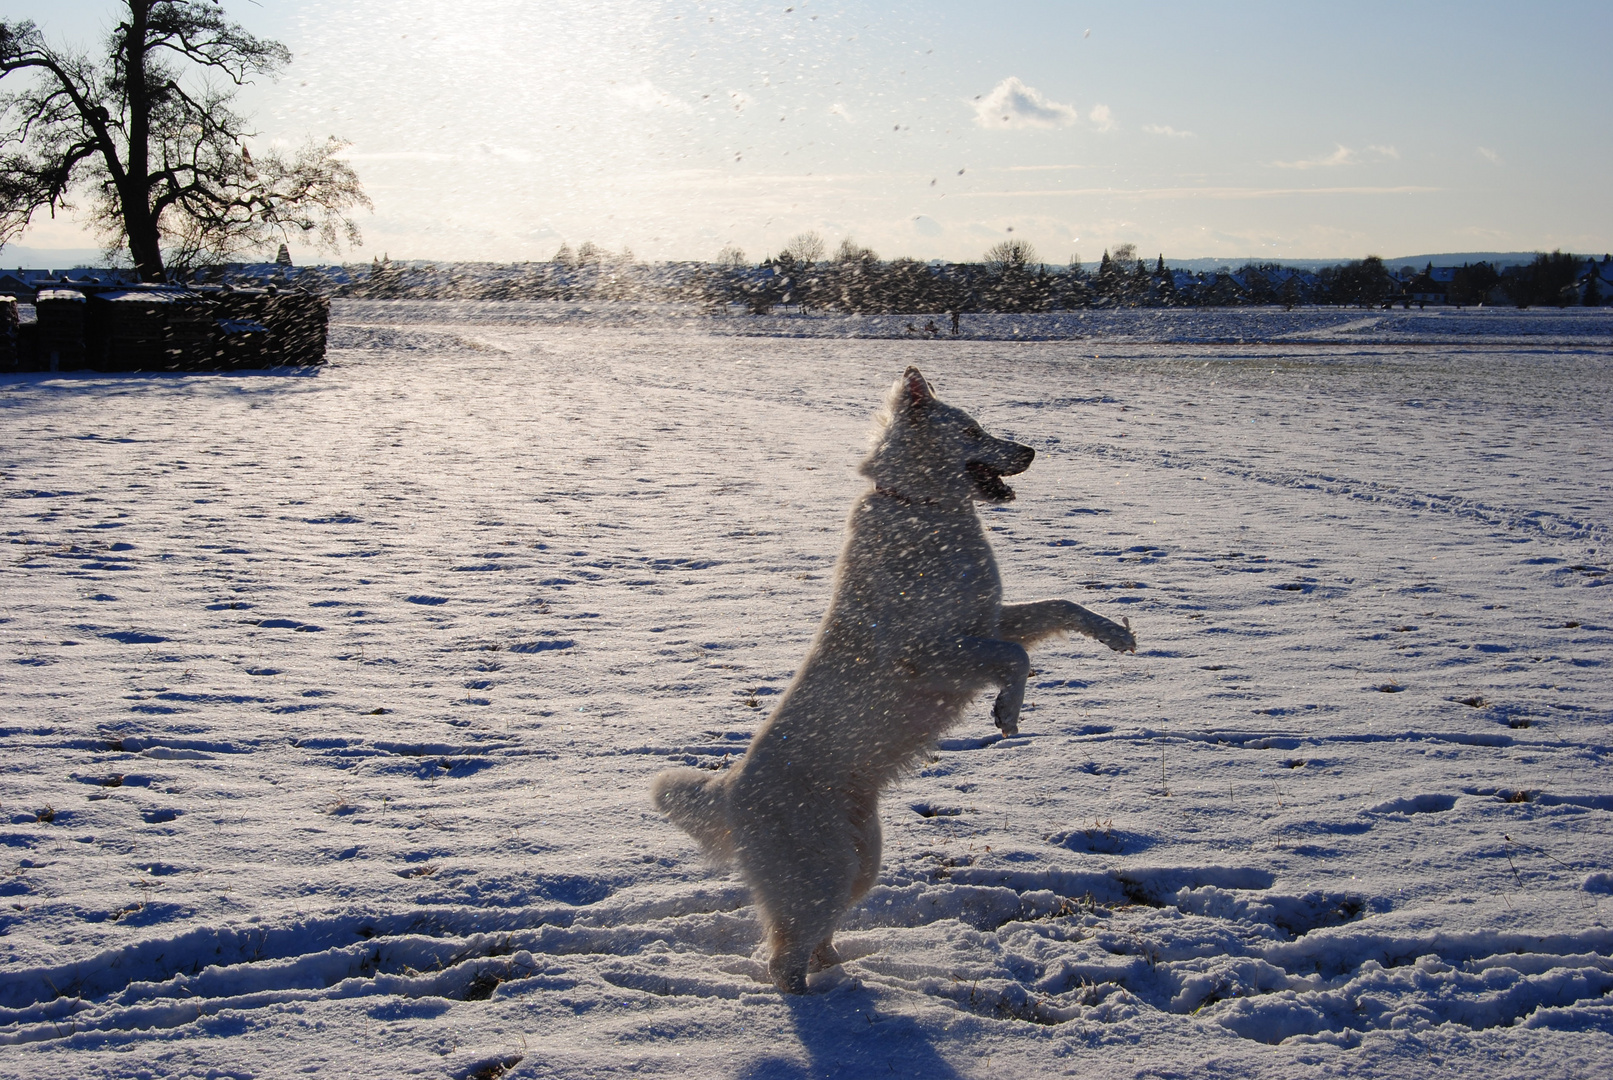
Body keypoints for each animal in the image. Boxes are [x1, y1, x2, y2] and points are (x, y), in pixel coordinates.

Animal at [651, 367, 1135, 992]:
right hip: (825, 869)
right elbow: (1016, 659)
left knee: (813, 942)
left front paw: (1117, 636)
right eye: (973, 431)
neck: (922, 508)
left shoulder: (985, 624)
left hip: (861, 862)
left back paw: (847, 977)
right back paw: (828, 1006)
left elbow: (1063, 608)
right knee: (784, 960)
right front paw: (1006, 712)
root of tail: (731, 789)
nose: (1031, 450)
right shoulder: (933, 654)